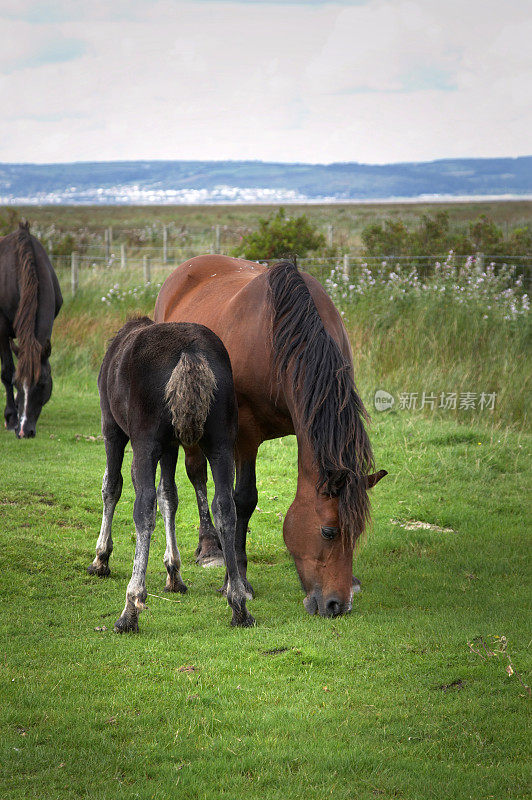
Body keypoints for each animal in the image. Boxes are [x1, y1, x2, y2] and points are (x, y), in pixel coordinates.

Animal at [0, 222, 62, 438]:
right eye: (18, 383)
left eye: (42, 384)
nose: (24, 431)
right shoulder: (2, 329)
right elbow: (7, 371)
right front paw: (11, 417)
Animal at [88, 316, 255, 636]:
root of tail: (189, 354)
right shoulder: (172, 445)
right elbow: (170, 497)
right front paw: (173, 572)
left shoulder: (111, 427)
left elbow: (112, 487)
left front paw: (101, 557)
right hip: (221, 441)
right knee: (224, 507)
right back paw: (238, 603)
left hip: (144, 441)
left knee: (143, 507)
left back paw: (130, 609)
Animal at [155, 256, 386, 620]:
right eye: (328, 531)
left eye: (357, 532)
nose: (337, 605)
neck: (281, 341)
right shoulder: (246, 434)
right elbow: (244, 500)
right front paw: (237, 580)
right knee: (197, 473)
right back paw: (210, 546)